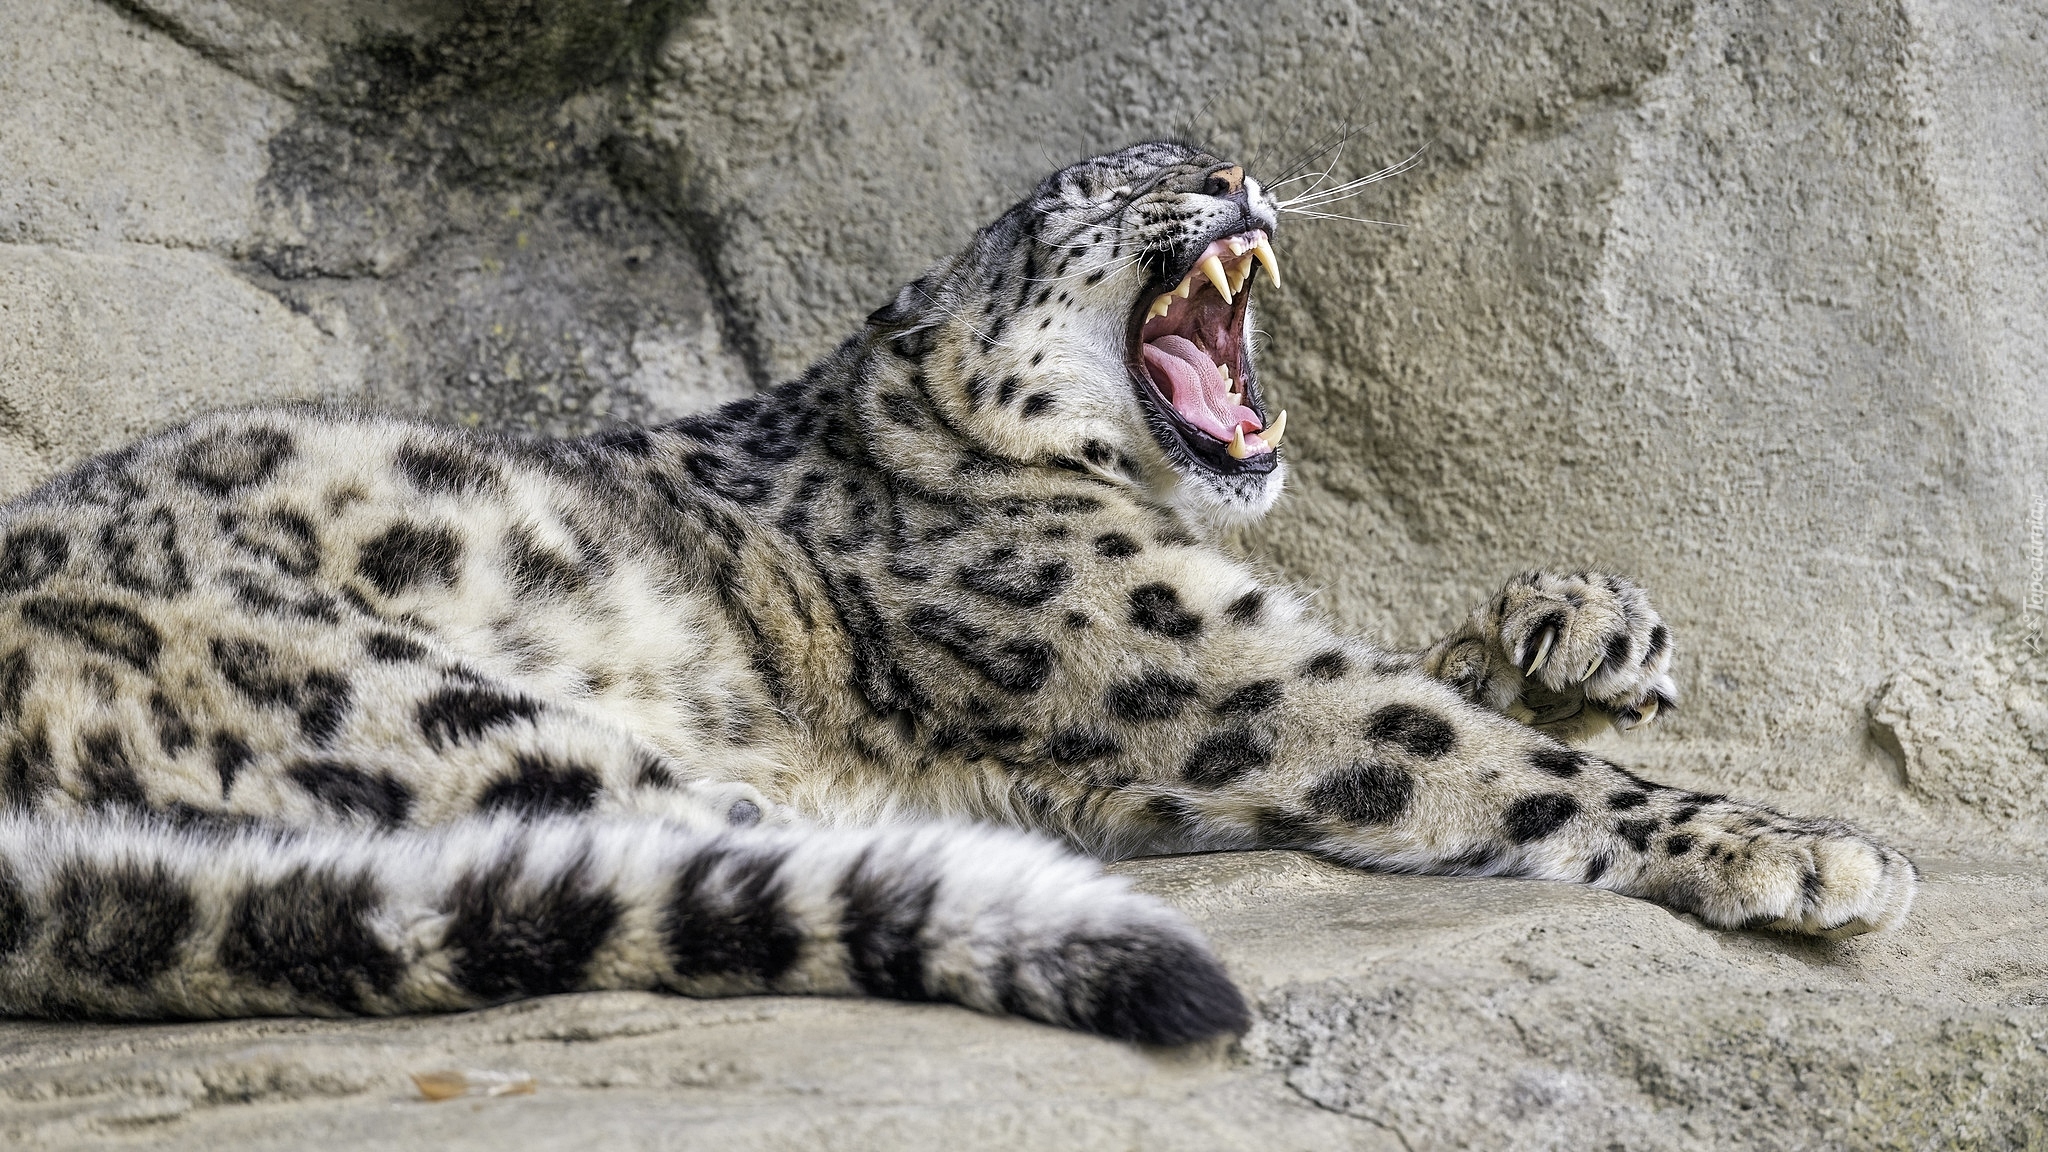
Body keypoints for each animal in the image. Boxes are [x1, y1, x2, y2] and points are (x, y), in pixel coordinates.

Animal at [0, 141, 1915, 1044]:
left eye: (1199, 154)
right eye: (1077, 198)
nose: (1229, 169)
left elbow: (1442, 677)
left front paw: (1578, 621)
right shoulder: (1204, 668)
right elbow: (1442, 741)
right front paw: (1799, 846)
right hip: (428, 707)